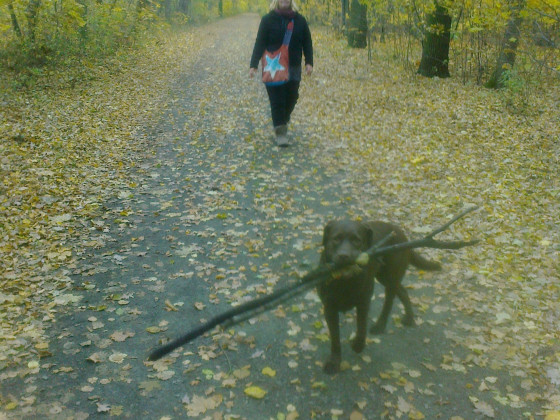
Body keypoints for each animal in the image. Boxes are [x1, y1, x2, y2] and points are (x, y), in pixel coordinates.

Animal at [318, 221, 440, 372]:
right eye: (336, 239)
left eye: (357, 240)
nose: (344, 256)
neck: (345, 281)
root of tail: (403, 235)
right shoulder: (329, 308)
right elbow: (335, 337)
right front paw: (334, 362)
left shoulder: (364, 302)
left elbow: (362, 327)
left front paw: (357, 345)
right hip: (384, 277)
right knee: (403, 292)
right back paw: (409, 318)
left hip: (390, 277)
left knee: (389, 301)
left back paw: (380, 325)